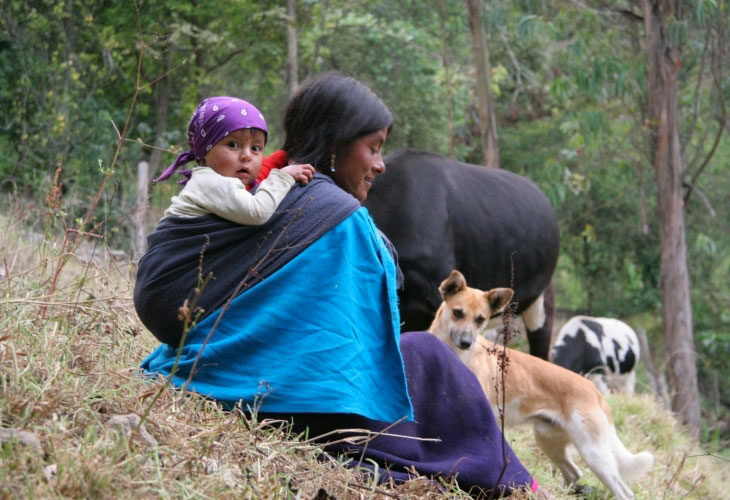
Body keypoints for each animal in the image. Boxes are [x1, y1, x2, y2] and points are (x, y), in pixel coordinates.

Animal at [424, 272, 652, 500]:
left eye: (481, 319)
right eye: (457, 312)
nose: (466, 342)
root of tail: (595, 391)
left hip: (594, 454)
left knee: (624, 492)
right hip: (548, 441)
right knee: (574, 473)